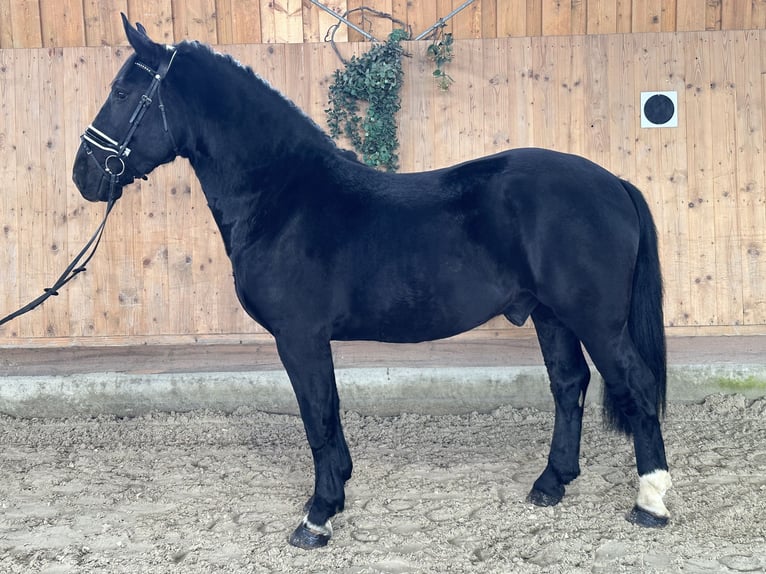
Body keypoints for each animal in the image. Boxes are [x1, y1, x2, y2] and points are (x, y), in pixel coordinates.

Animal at [73, 15, 672, 552]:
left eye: (123, 92)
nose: (84, 174)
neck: (283, 197)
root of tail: (613, 183)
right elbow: (328, 414)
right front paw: (338, 488)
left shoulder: (299, 337)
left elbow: (318, 414)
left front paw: (317, 518)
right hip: (551, 315)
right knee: (569, 384)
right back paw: (551, 484)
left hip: (595, 319)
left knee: (637, 385)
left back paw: (651, 501)